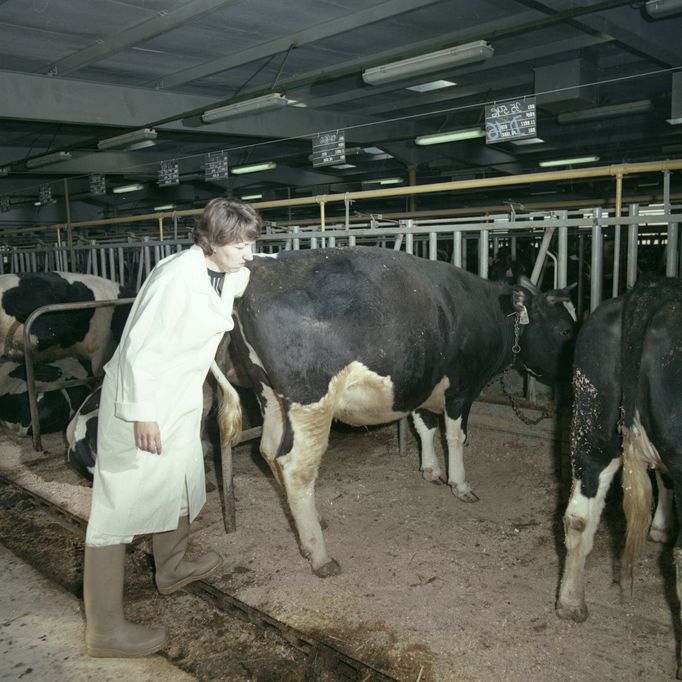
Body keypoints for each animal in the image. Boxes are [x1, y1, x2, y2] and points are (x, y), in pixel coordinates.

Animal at [220, 246, 576, 572]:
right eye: (564, 330)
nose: (575, 377)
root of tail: (263, 265)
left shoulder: (422, 383)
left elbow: (425, 427)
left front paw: (431, 470)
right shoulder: (462, 388)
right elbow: (455, 437)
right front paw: (460, 484)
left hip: (269, 394)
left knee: (268, 451)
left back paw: (311, 521)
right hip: (309, 400)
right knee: (296, 466)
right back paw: (319, 554)